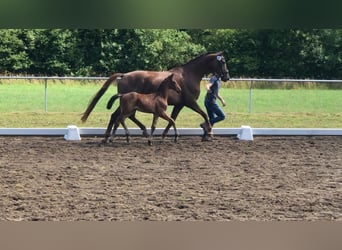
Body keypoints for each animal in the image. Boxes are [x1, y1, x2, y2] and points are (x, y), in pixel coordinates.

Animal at [81, 51, 230, 141]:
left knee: (128, 116)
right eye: (222, 62)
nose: (226, 77)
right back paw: (107, 138)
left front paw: (164, 136)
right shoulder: (190, 102)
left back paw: (141, 132)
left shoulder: (179, 105)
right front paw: (209, 132)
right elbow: (204, 114)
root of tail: (124, 75)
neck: (189, 75)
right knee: (116, 116)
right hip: (128, 104)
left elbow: (172, 119)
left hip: (131, 105)